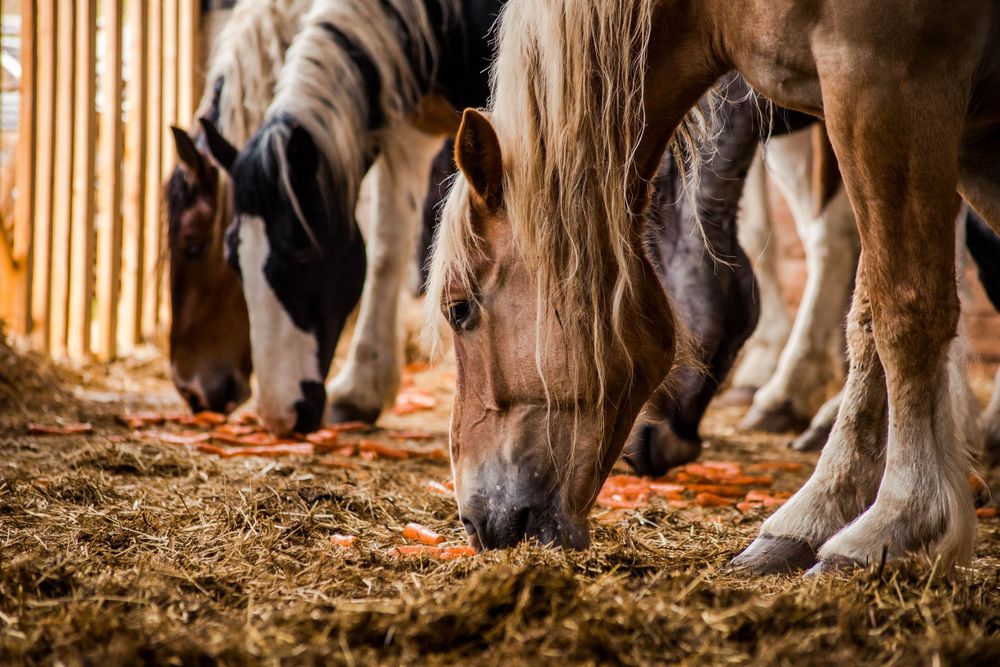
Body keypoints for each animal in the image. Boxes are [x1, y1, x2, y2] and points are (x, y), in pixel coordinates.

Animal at [201, 0, 503, 434]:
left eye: (300, 256)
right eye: (232, 259)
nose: (279, 416)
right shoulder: (409, 127)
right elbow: (387, 252)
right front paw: (362, 391)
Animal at [429, 0, 1000, 573]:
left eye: (459, 309)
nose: (473, 522)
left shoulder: (886, 85)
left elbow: (904, 311)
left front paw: (898, 518)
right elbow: (868, 319)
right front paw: (818, 513)